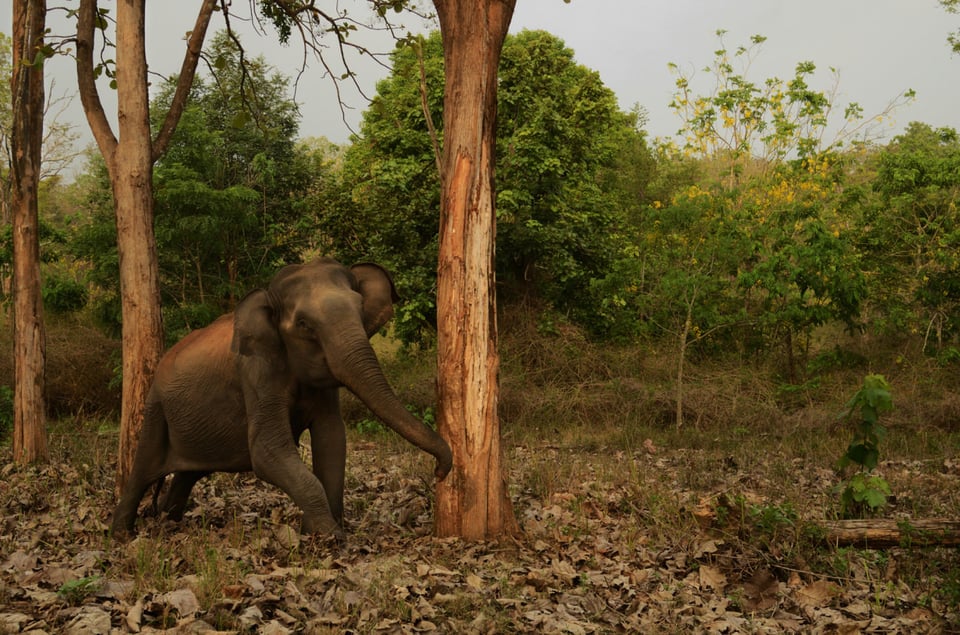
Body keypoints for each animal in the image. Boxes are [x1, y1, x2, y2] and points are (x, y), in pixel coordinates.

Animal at [109, 256, 454, 540]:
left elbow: (332, 438)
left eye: (359, 308)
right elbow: (267, 450)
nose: (440, 472)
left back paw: (170, 522)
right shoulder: (257, 371)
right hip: (155, 408)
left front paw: (320, 531)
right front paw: (332, 537)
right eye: (303, 324)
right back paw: (123, 534)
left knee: (187, 474)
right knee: (143, 469)